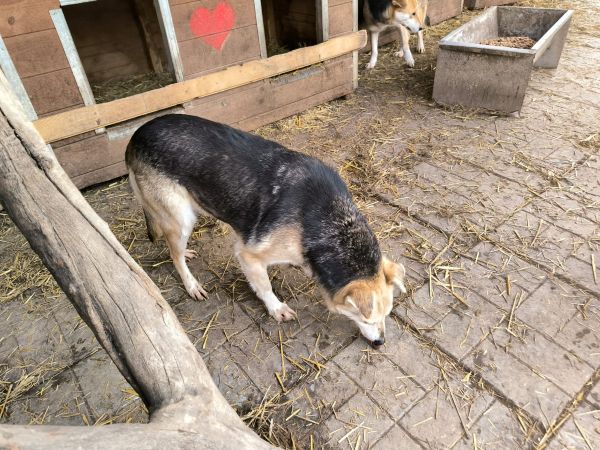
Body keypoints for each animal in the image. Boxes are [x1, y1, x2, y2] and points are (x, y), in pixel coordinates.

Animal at [125, 114, 407, 347]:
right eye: (367, 319)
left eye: (387, 314)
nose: (381, 343)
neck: (332, 222)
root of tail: (136, 135)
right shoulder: (249, 255)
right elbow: (264, 287)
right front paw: (276, 308)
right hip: (181, 218)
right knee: (174, 255)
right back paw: (191, 284)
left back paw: (188, 253)